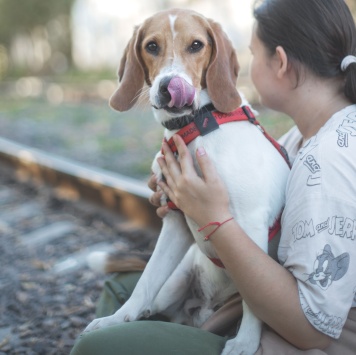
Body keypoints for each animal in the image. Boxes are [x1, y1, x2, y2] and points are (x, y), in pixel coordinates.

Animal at [85, 8, 290, 355]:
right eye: (151, 46)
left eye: (196, 45)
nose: (171, 86)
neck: (198, 125)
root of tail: (202, 309)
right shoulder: (175, 223)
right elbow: (145, 280)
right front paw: (116, 319)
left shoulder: (252, 224)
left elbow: (254, 300)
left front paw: (246, 342)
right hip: (174, 283)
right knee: (152, 299)